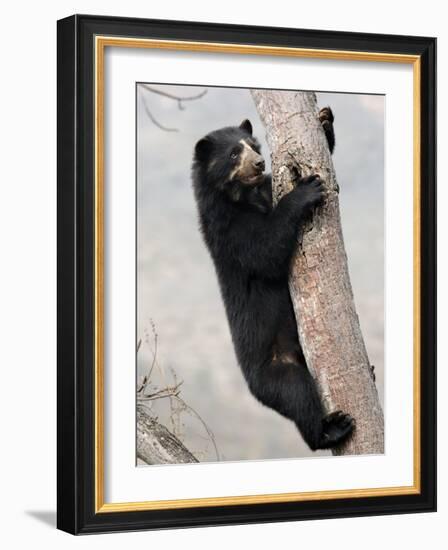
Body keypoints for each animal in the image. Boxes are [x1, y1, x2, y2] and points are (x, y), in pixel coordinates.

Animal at [191, 108, 356, 452]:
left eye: (254, 145)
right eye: (233, 153)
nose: (259, 163)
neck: (244, 196)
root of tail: (252, 387)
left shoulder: (265, 190)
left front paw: (324, 122)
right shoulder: (230, 231)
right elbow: (266, 250)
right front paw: (306, 191)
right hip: (276, 370)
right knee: (297, 395)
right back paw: (331, 430)